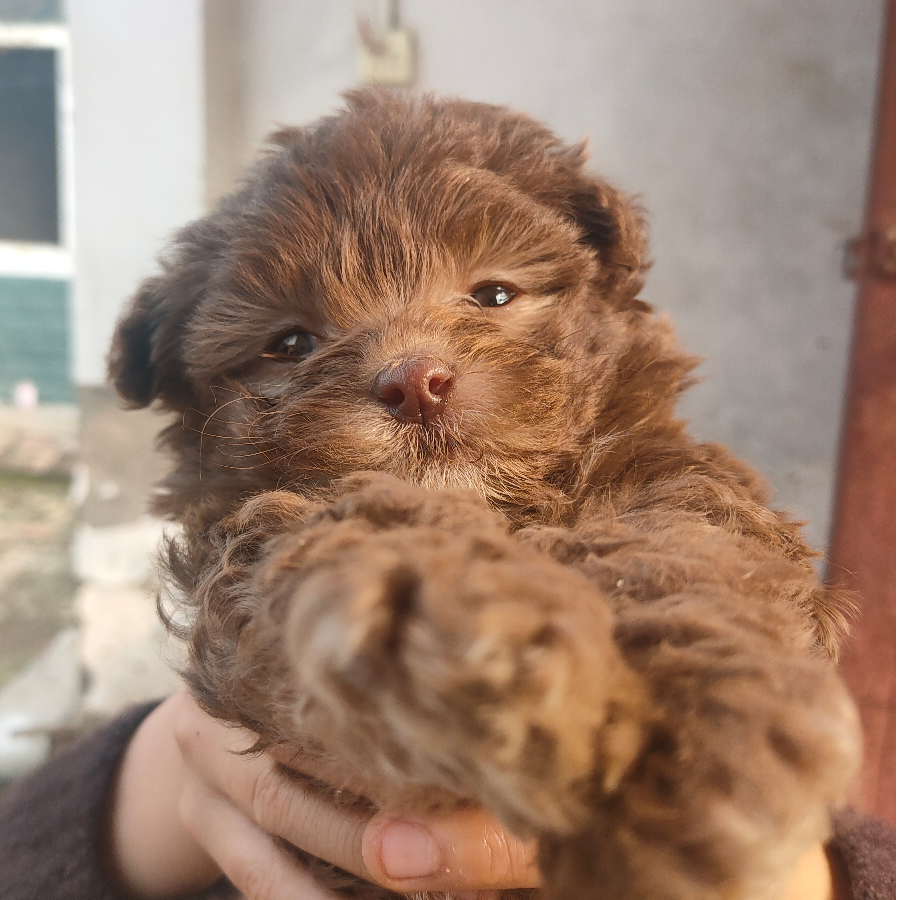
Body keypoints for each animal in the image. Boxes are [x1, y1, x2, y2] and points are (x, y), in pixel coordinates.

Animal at [109, 93, 860, 900]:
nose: (415, 381)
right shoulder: (244, 555)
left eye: (494, 294)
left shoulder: (671, 472)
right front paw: (462, 620)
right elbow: (330, 545)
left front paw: (689, 743)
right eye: (290, 345)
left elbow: (685, 549)